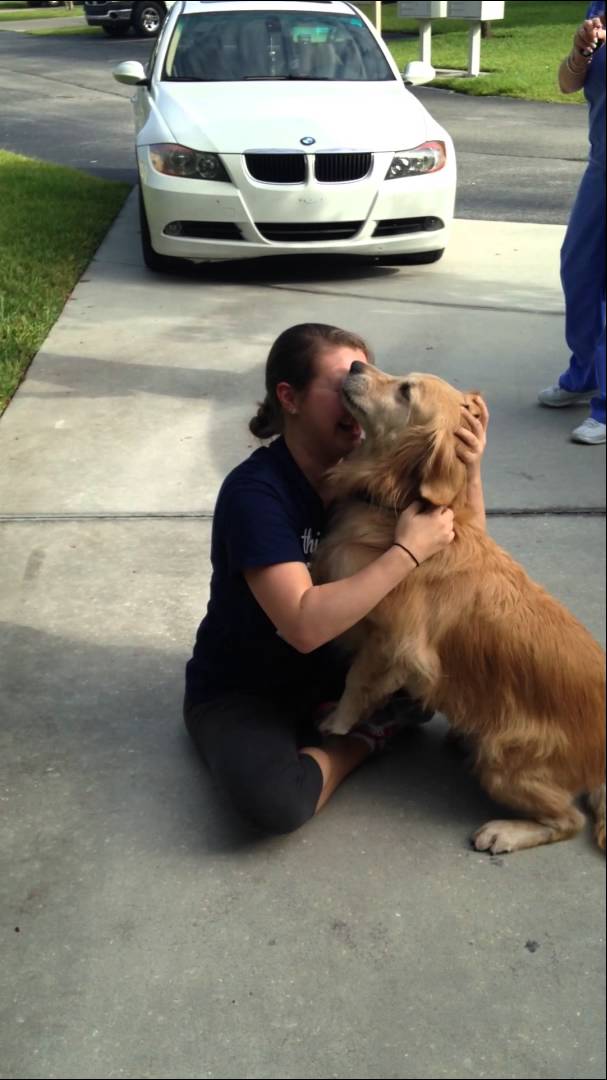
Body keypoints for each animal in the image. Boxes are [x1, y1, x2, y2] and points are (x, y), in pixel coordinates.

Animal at [313, 367, 600, 855]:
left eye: (405, 392)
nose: (354, 368)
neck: (398, 504)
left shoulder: (397, 642)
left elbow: (357, 679)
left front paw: (338, 722)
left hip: (502, 760)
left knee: (570, 820)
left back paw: (504, 831)